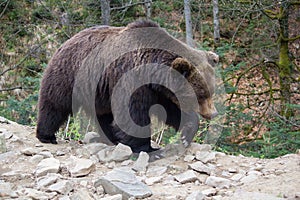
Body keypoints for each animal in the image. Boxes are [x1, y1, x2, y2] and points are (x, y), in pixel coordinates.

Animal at [37, 19, 218, 153]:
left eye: (211, 92)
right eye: (201, 94)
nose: (213, 113)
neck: (152, 70)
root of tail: (65, 42)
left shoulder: (158, 91)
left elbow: (171, 110)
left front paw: (186, 134)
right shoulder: (132, 79)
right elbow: (134, 114)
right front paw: (145, 147)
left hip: (99, 91)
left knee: (104, 114)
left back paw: (111, 138)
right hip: (70, 75)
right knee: (55, 103)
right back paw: (47, 135)